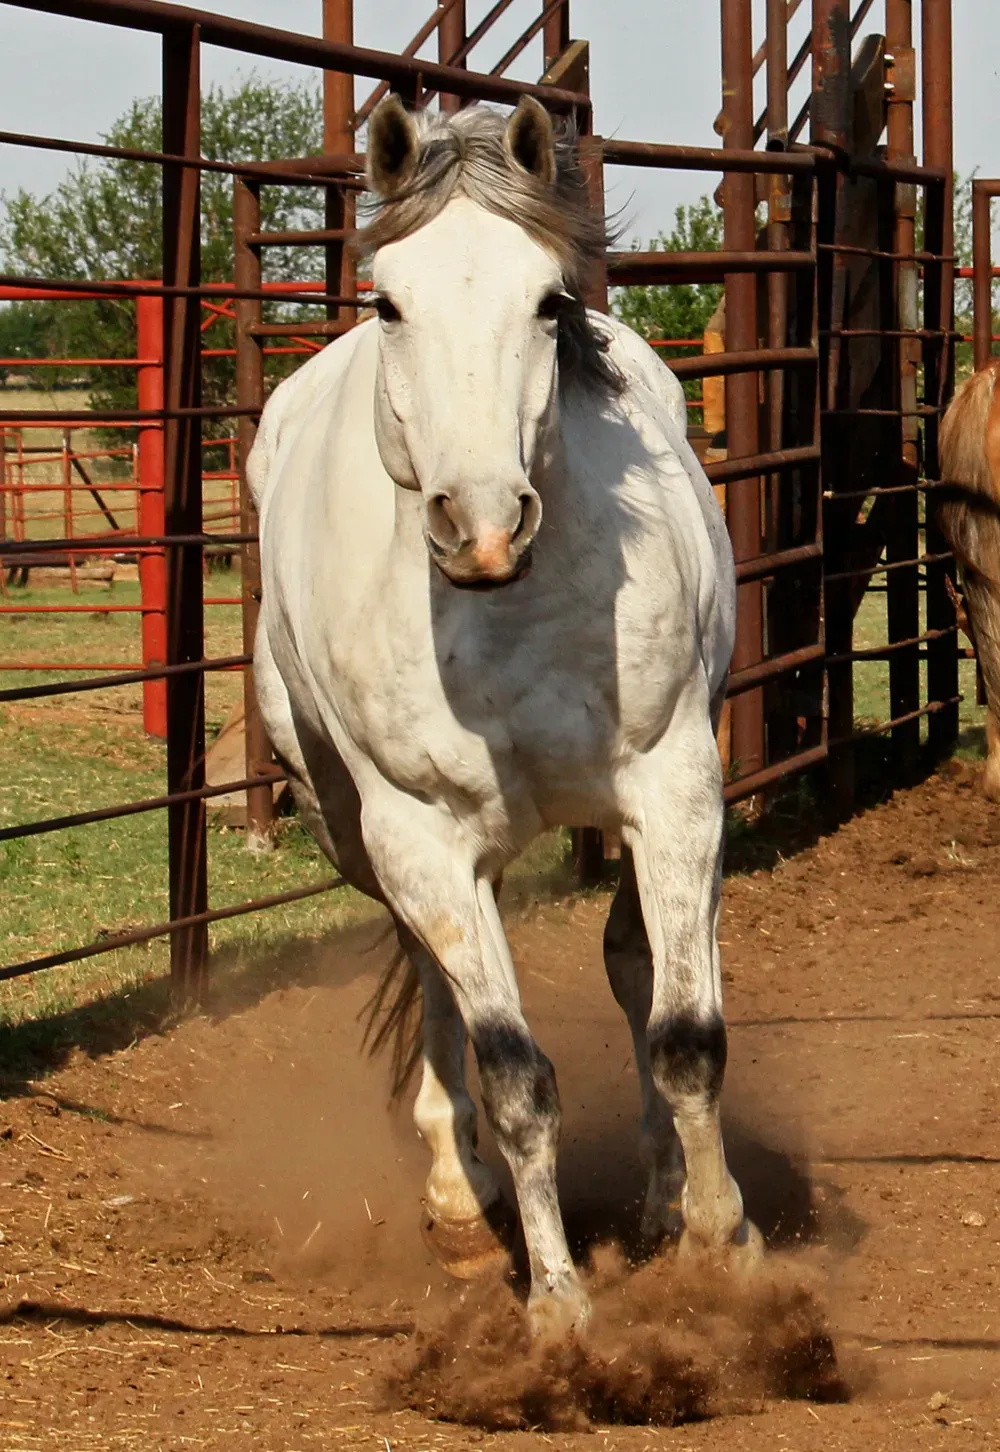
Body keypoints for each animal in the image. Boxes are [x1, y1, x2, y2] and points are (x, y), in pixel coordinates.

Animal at [248, 96, 754, 1330]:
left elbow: (684, 1035)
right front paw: (561, 1311)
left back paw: (664, 1192)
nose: (479, 524)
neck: (501, 614)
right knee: (434, 982)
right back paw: (455, 1198)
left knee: (639, 965)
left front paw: (720, 1244)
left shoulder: (673, 786)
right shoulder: (421, 838)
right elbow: (518, 1078)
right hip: (353, 830)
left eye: (547, 302)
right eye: (388, 301)